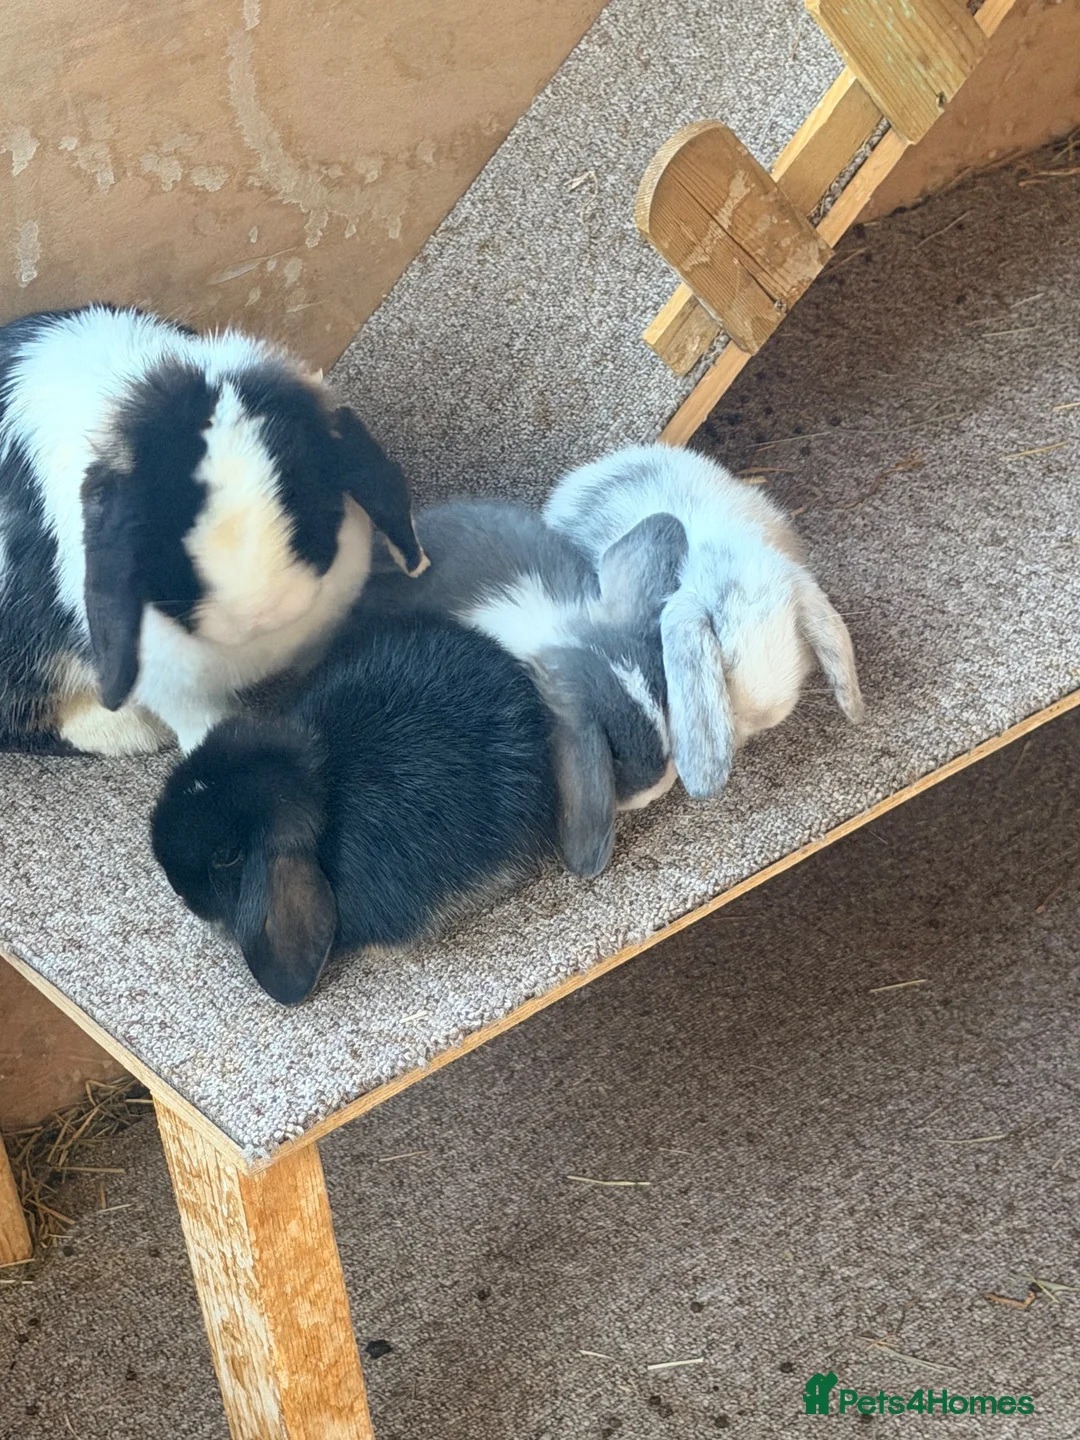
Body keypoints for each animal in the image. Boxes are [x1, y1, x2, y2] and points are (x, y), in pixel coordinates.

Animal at [0, 304, 426, 756]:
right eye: (163, 533)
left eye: (305, 495)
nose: (263, 611)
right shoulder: (172, 688)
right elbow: (201, 724)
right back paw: (132, 731)